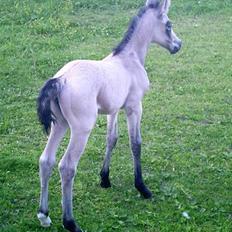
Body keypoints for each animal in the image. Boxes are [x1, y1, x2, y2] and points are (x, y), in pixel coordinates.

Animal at [35, 0, 181, 231]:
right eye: (168, 24)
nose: (178, 45)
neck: (129, 59)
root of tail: (60, 80)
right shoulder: (134, 107)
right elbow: (135, 143)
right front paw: (142, 188)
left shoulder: (113, 110)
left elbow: (111, 139)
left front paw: (105, 179)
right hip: (81, 129)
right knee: (67, 167)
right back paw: (70, 222)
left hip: (60, 124)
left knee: (46, 160)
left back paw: (44, 215)